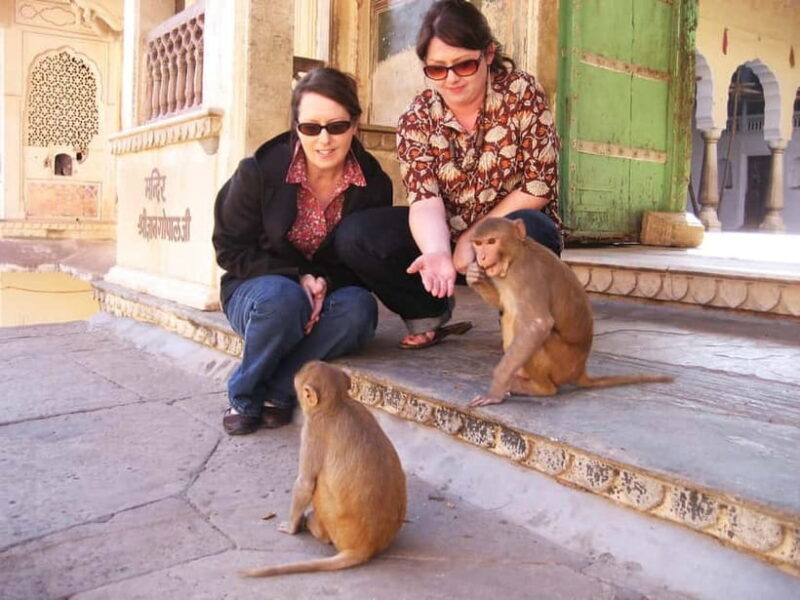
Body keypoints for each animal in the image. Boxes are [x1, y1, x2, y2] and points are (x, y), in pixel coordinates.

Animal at [240, 361, 407, 578]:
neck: (339, 403)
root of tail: (367, 546)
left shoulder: (312, 432)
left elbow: (305, 483)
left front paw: (291, 526)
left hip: (334, 523)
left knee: (318, 486)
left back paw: (314, 527)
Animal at [466, 217, 673, 407]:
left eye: (491, 241)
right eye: (478, 243)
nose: (481, 257)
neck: (515, 256)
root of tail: (580, 370)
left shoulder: (526, 274)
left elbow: (538, 324)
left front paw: (495, 390)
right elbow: (501, 303)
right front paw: (473, 275)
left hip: (562, 364)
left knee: (522, 323)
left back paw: (540, 388)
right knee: (510, 314)